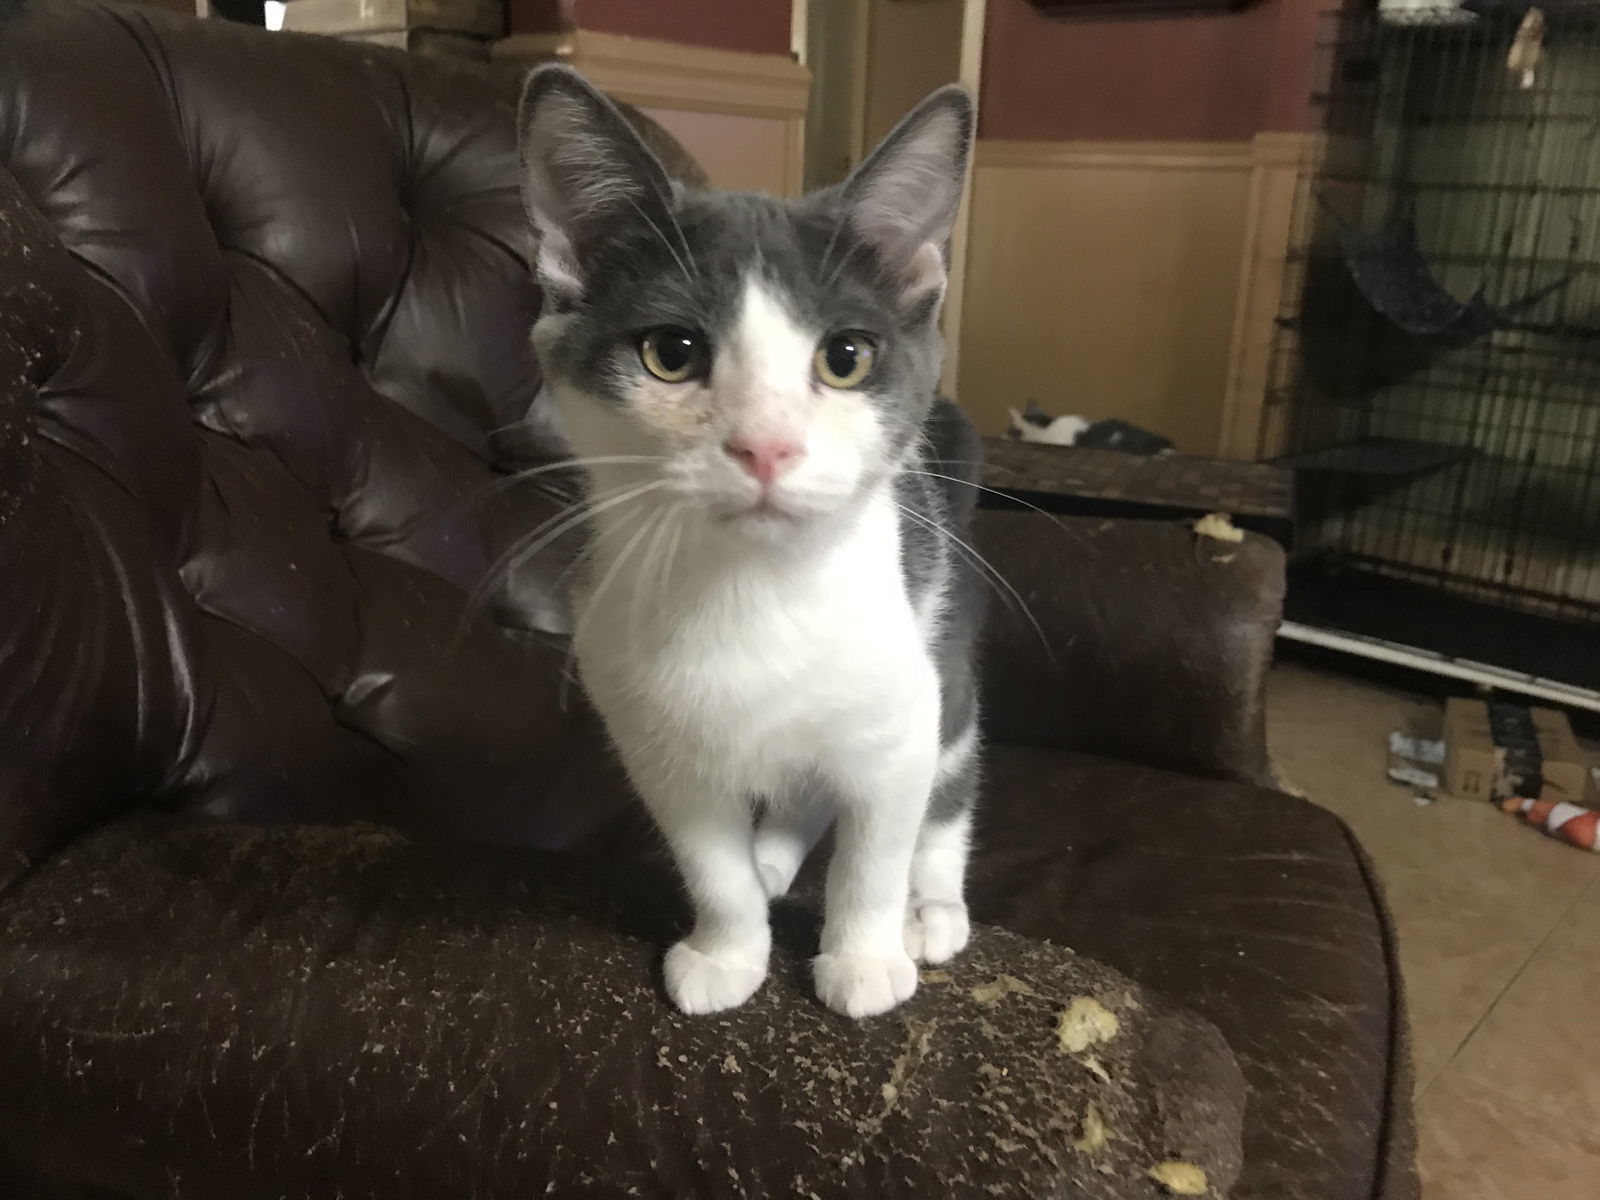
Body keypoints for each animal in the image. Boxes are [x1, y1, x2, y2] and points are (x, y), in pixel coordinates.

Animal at [518, 65, 979, 1017]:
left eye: (846, 357)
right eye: (671, 351)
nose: (766, 445)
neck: (753, 586)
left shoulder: (900, 719)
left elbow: (874, 851)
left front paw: (864, 956)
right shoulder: (655, 743)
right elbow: (709, 860)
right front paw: (727, 950)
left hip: (944, 655)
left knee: (945, 792)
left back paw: (931, 907)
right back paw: (772, 859)